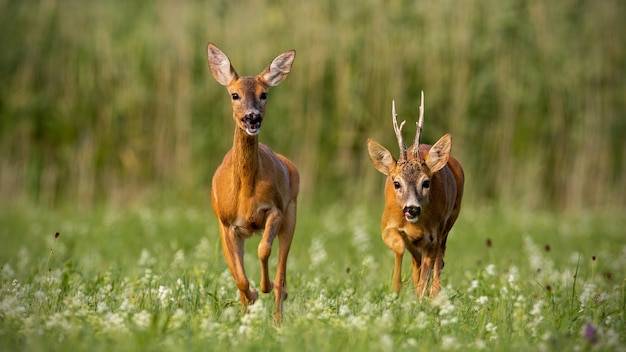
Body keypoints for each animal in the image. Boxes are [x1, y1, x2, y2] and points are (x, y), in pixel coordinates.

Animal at [205, 42, 298, 322]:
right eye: (234, 94)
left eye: (264, 94)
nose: (252, 117)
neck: (245, 191)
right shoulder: (226, 224)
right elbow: (240, 279)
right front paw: (253, 295)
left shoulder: (275, 209)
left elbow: (264, 250)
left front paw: (263, 287)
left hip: (291, 213)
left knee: (281, 276)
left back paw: (278, 318)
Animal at [364, 93, 460, 296]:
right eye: (396, 183)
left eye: (426, 182)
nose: (412, 208)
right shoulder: (386, 225)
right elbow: (400, 247)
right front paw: (396, 289)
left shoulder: (433, 236)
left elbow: (428, 270)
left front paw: (420, 296)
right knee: (418, 260)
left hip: (448, 223)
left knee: (439, 258)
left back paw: (434, 295)